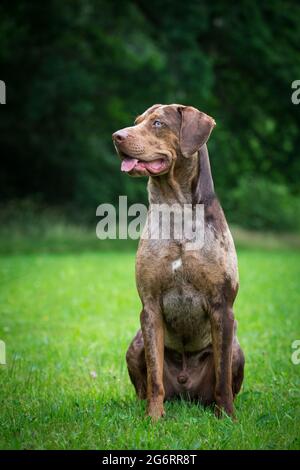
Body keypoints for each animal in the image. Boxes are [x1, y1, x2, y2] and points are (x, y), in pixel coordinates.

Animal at [112, 104, 244, 420]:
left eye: (158, 123)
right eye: (137, 122)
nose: (116, 136)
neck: (176, 211)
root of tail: (186, 391)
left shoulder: (223, 307)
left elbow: (223, 378)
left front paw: (228, 418)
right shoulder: (149, 307)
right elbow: (155, 375)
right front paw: (153, 418)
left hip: (238, 348)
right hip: (135, 344)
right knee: (144, 382)